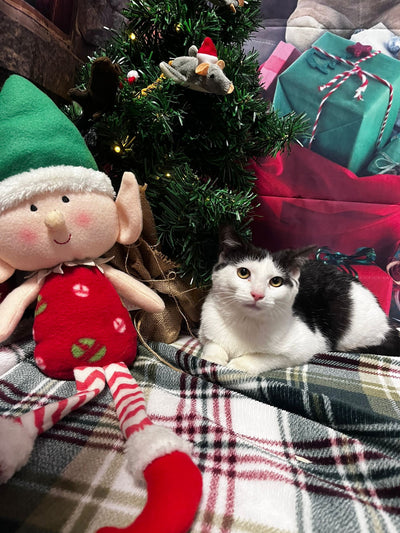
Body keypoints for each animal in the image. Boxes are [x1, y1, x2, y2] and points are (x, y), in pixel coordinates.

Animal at [198, 226, 400, 374]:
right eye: (243, 272)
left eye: (276, 282)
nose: (257, 294)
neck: (245, 321)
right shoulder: (205, 329)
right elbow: (211, 346)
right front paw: (214, 359)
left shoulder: (306, 345)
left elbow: (264, 357)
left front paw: (238, 365)